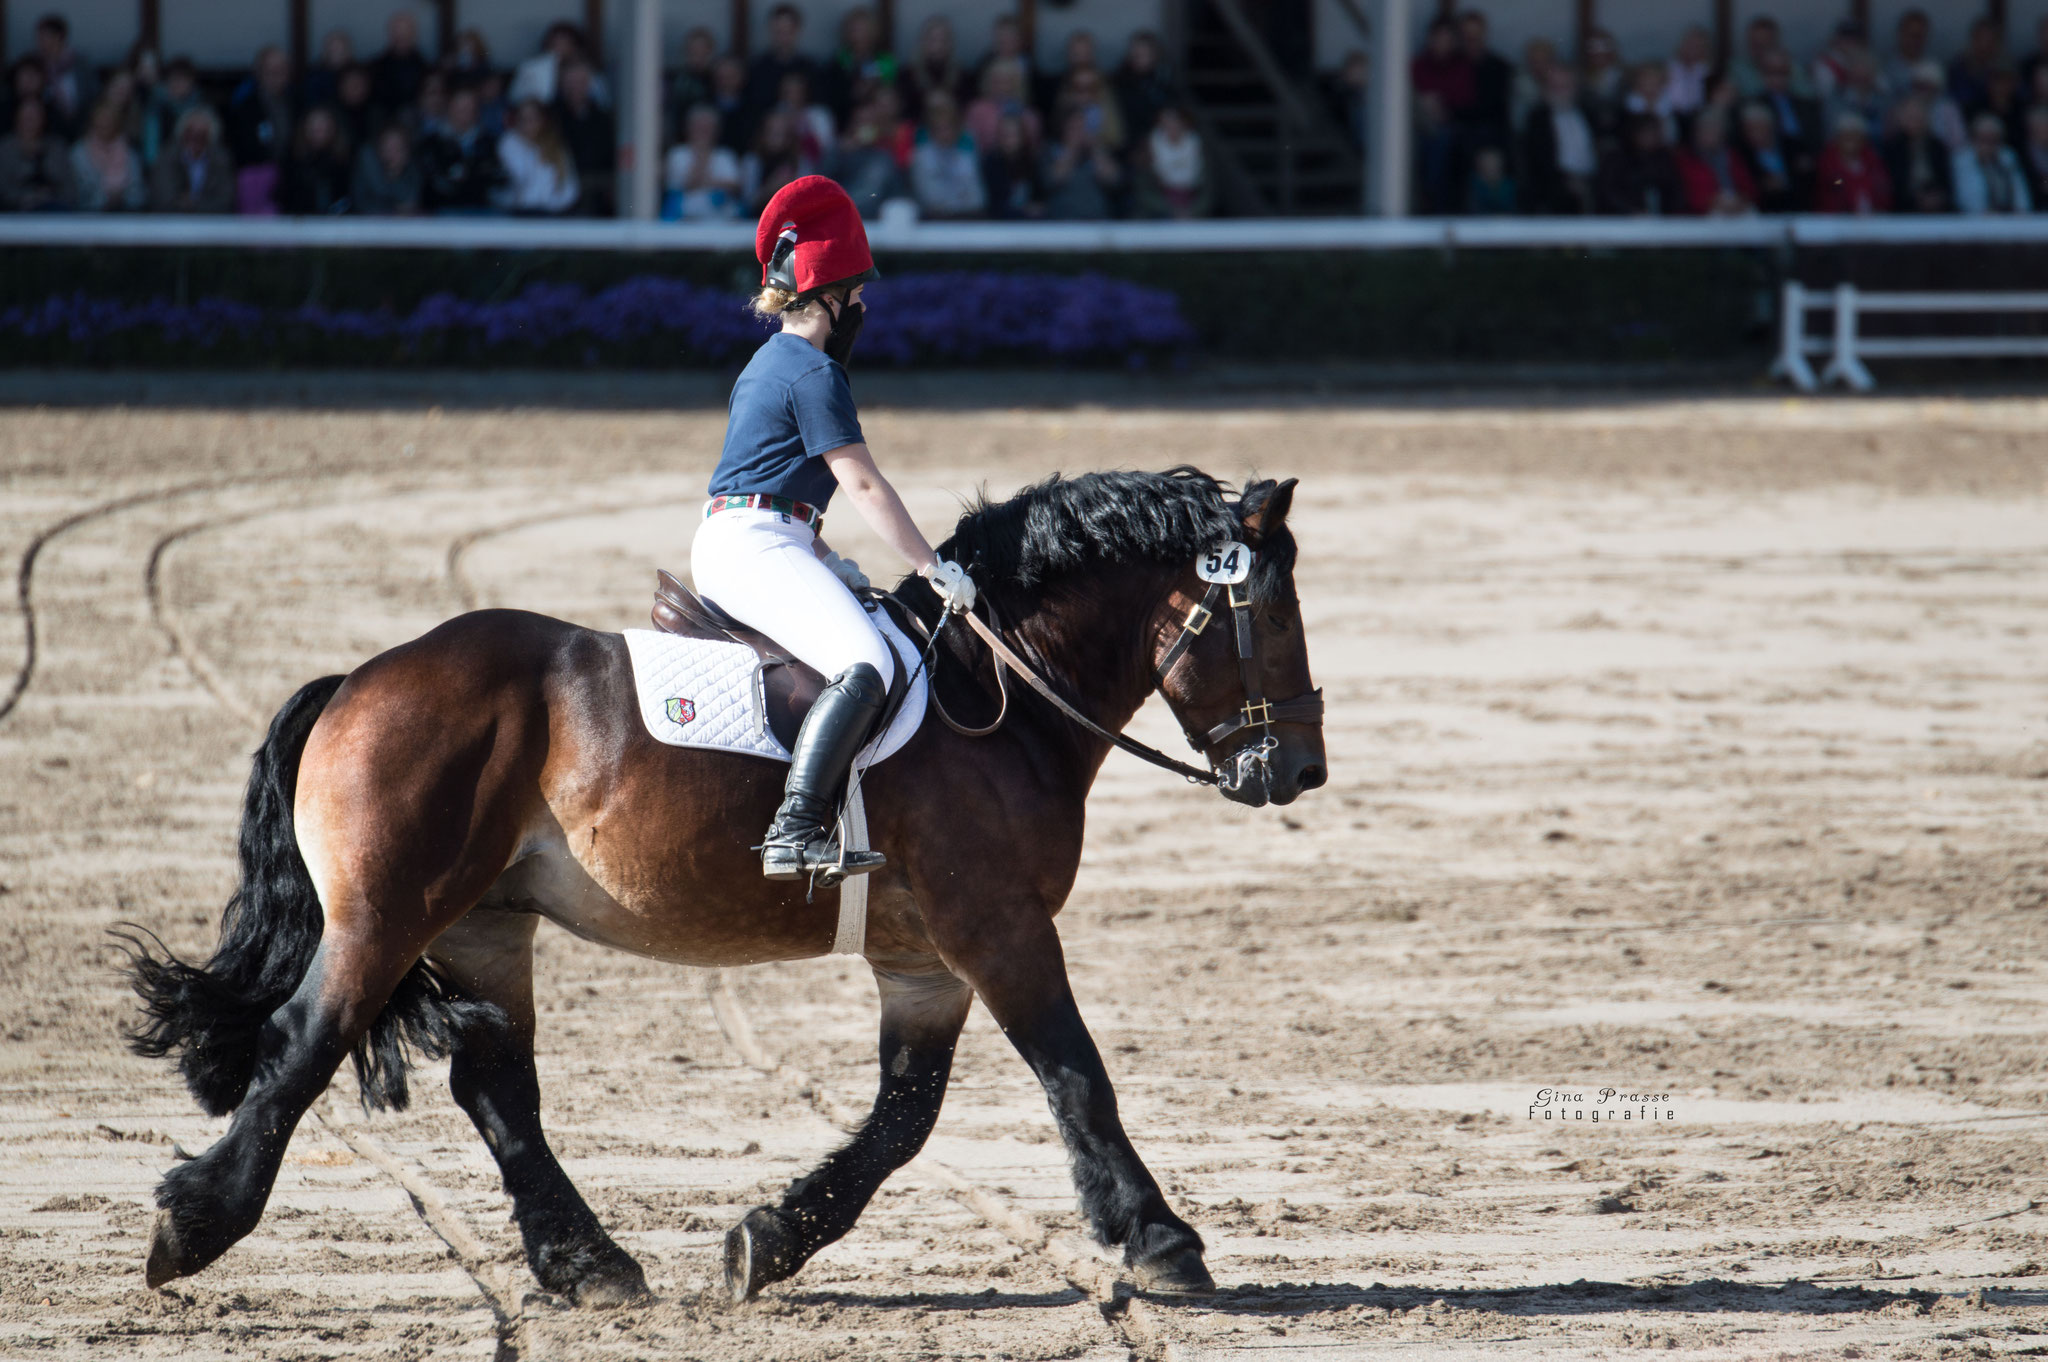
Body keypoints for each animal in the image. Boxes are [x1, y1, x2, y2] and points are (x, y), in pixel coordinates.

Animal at [119, 464, 1327, 1310]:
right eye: (1270, 616)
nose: (1302, 772)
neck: (999, 694)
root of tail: (359, 681)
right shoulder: (999, 929)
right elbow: (1076, 1076)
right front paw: (1161, 1239)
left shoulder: (924, 962)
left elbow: (903, 1117)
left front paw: (770, 1238)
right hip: (383, 916)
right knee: (304, 1041)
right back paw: (194, 1225)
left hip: (483, 926)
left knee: (498, 1089)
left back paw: (589, 1264)